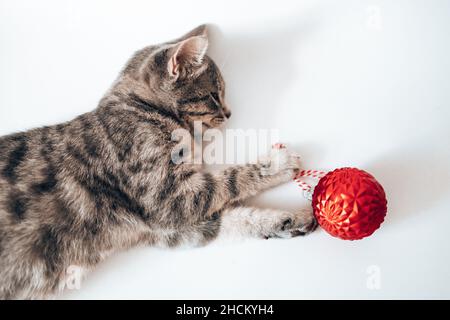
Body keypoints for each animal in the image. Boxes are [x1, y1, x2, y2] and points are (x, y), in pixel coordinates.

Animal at [0, 25, 316, 300]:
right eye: (214, 95)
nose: (229, 113)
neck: (140, 110)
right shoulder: (170, 199)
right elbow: (229, 179)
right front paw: (278, 163)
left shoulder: (167, 228)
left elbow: (235, 219)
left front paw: (289, 219)